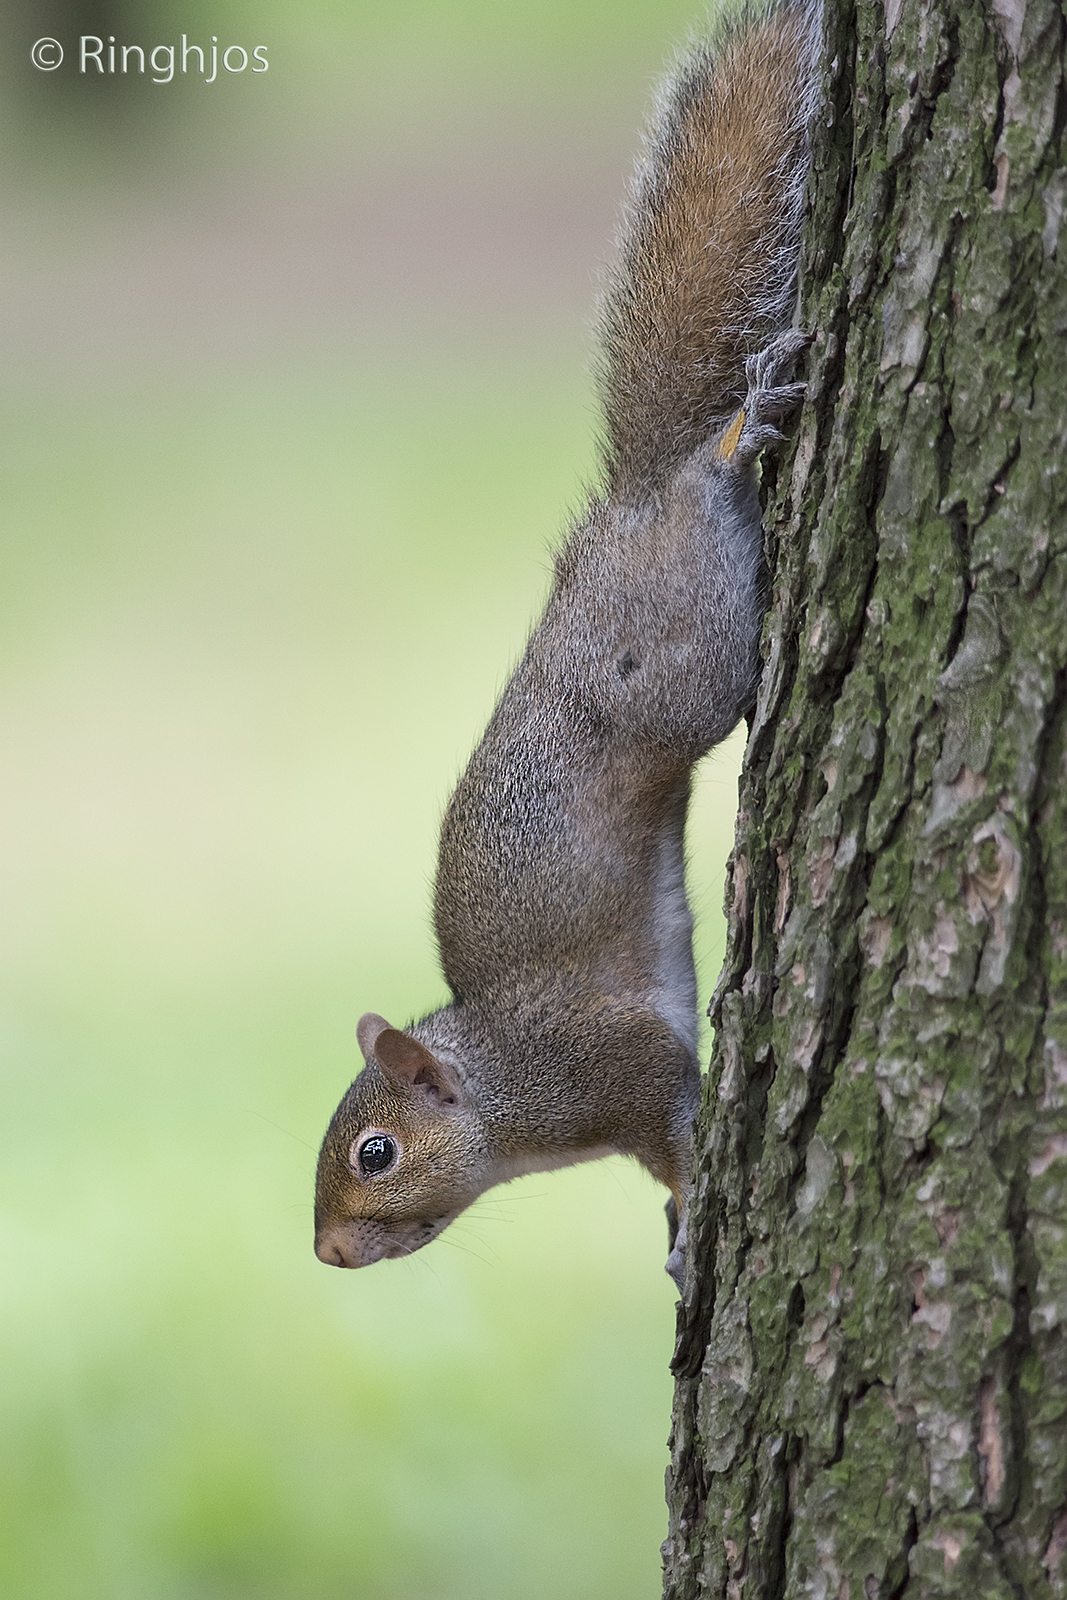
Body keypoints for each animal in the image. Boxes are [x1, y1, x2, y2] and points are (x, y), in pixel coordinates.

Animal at [314, 0, 821, 1289]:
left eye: (377, 1153)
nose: (327, 1254)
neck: (505, 1097)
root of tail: (626, 505)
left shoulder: (615, 1066)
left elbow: (680, 1127)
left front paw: (691, 1229)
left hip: (680, 658)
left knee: (702, 498)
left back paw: (733, 437)